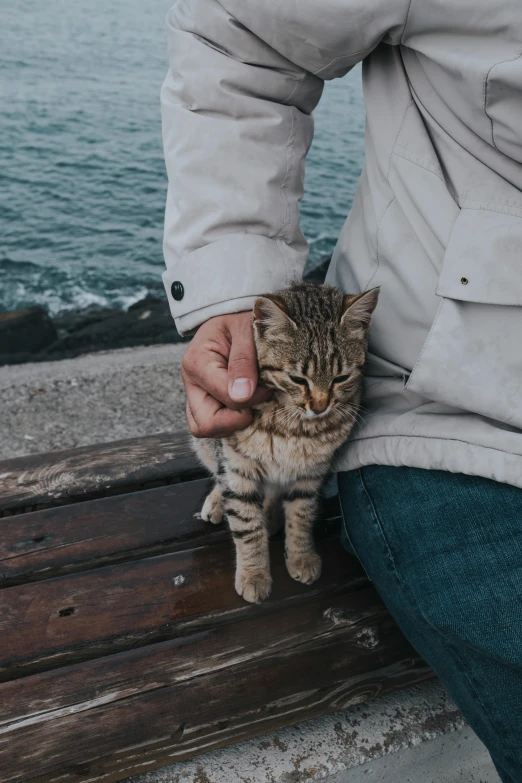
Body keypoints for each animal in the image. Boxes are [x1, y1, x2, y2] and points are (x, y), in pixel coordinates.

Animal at [191, 284, 378, 608]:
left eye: (341, 377)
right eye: (297, 379)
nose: (320, 406)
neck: (294, 425)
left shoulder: (312, 473)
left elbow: (301, 514)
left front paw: (301, 555)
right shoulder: (238, 467)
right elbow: (246, 524)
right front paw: (253, 573)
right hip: (206, 443)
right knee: (218, 473)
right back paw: (218, 501)